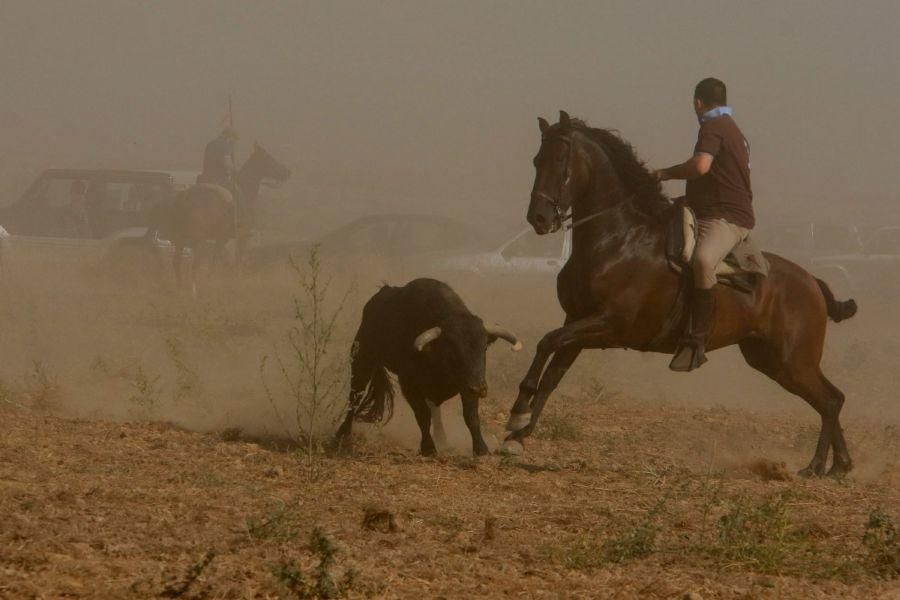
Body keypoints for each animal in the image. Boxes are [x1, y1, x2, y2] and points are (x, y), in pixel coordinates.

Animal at [148, 143, 288, 288]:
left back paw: (181, 287)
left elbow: (218, 262)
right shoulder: (238, 238)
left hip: (181, 239)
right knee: (194, 265)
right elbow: (231, 262)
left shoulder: (222, 239)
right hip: (198, 240)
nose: (287, 171)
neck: (245, 193)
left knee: (177, 262)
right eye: (269, 158)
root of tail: (182, 198)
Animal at [336, 278, 520, 458]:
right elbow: (423, 416)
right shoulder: (409, 386)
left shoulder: (466, 386)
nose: (479, 388)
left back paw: (442, 438)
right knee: (355, 397)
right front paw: (428, 448)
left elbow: (471, 416)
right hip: (362, 362)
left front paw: (481, 448)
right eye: (451, 350)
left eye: (484, 347)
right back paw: (342, 434)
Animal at [502, 111, 860, 478]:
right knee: (830, 399)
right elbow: (552, 375)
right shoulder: (577, 321)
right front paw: (519, 435)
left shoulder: (608, 324)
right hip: (771, 360)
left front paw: (518, 413)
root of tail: (812, 281)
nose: (539, 218)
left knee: (830, 400)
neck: (617, 241)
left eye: (561, 160)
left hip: (792, 361)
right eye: (537, 160)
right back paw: (839, 465)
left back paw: (816, 466)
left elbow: (546, 343)